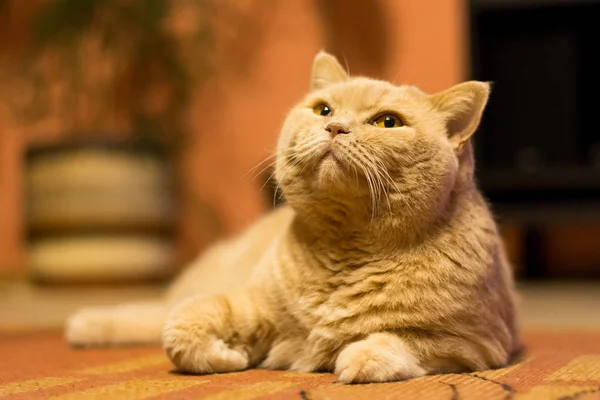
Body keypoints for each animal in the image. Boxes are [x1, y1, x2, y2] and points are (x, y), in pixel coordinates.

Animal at [68, 50, 520, 384]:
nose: (335, 128)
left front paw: (357, 357)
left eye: (388, 122)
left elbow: (398, 342)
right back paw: (83, 325)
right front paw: (228, 356)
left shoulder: (476, 345)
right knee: (155, 313)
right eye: (323, 110)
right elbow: (181, 330)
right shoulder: (246, 303)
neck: (346, 250)